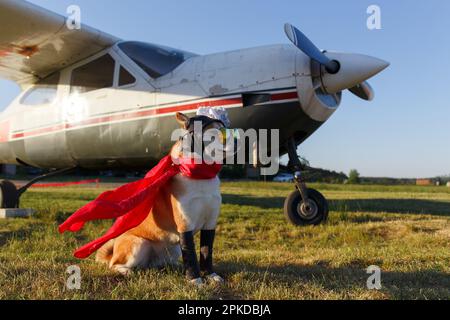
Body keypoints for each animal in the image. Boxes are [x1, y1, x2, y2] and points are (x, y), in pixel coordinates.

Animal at [95, 110, 229, 284]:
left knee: (160, 264)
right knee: (114, 264)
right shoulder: (184, 226)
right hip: (139, 244)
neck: (200, 175)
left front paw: (211, 275)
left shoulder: (210, 224)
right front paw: (196, 281)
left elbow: (206, 252)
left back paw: (175, 267)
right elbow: (191, 256)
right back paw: (127, 271)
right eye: (212, 132)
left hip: (173, 249)